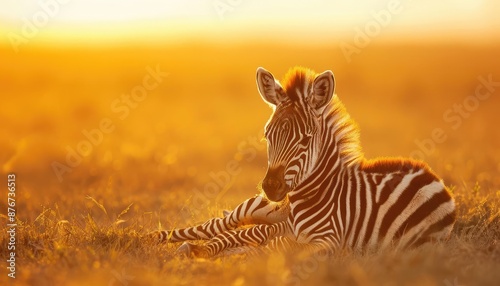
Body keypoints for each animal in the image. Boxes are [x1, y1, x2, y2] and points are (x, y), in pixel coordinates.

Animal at [154, 66, 456, 256]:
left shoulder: (327, 241)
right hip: (257, 207)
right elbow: (251, 238)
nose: (272, 187)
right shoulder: (287, 225)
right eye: (267, 135)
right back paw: (150, 238)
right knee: (216, 225)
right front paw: (209, 250)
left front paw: (232, 253)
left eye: (306, 139)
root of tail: (435, 179)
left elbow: (268, 245)